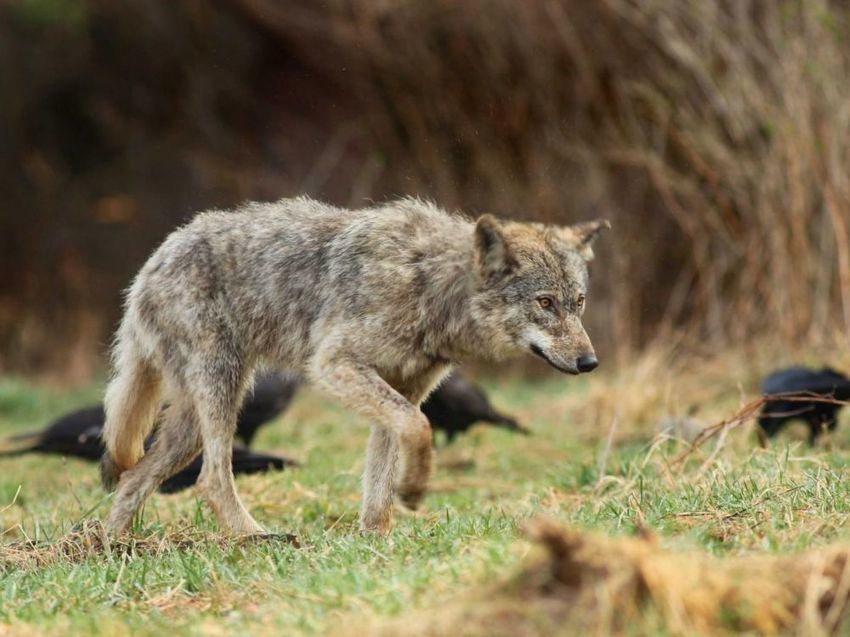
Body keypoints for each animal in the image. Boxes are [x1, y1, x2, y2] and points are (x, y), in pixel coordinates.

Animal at [100, 196, 608, 535]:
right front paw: (415, 489)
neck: (427, 282)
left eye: (579, 302)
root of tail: (150, 265)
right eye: (545, 303)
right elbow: (418, 429)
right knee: (210, 479)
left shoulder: (401, 390)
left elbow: (382, 473)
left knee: (132, 479)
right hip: (223, 394)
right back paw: (255, 538)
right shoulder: (335, 365)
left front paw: (377, 537)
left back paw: (110, 548)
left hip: (189, 425)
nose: (590, 362)